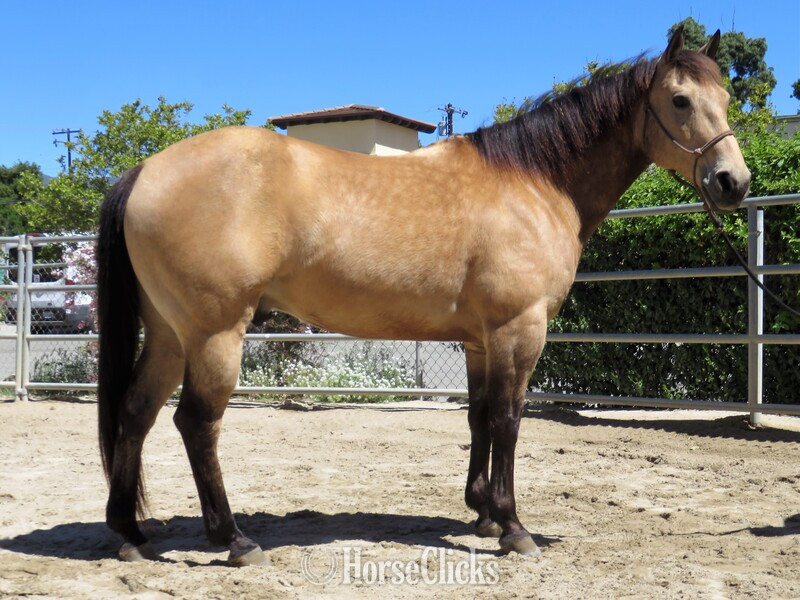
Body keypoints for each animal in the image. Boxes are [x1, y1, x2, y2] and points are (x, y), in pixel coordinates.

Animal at [96, 26, 750, 565]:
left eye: (725, 99)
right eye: (680, 100)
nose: (733, 182)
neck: (533, 182)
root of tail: (144, 171)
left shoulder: (480, 340)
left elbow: (480, 416)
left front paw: (483, 513)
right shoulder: (519, 328)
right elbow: (510, 418)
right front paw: (514, 528)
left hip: (169, 334)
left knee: (136, 412)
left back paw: (130, 534)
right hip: (215, 334)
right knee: (195, 424)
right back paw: (234, 540)